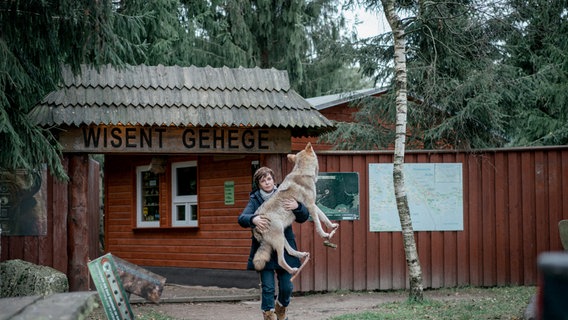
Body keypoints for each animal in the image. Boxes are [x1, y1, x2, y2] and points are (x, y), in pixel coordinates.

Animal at [252, 143, 338, 280]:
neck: (304, 172)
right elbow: (318, 223)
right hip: (279, 238)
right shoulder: (310, 206)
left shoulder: (314, 205)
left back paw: (301, 255)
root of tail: (255, 227)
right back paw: (292, 270)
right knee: (281, 260)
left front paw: (332, 226)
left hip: (282, 236)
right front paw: (324, 234)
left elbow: (324, 217)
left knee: (290, 251)